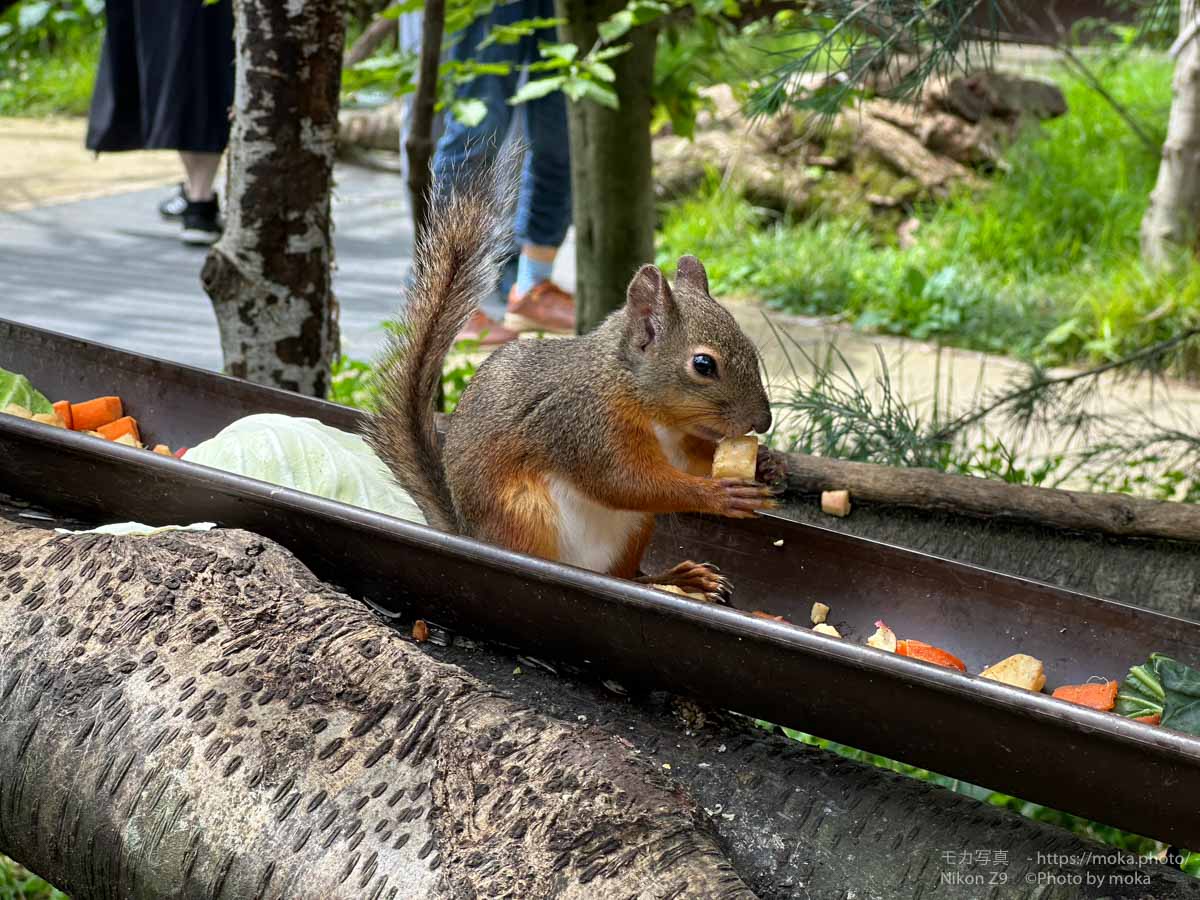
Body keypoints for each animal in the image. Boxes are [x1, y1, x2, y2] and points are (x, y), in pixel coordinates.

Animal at [364, 150, 777, 607]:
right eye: (703, 365)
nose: (763, 422)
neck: (634, 394)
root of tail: (469, 534)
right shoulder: (582, 427)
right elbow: (625, 483)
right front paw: (719, 495)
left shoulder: (677, 443)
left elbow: (687, 463)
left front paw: (768, 466)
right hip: (527, 514)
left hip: (635, 529)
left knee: (626, 576)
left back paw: (678, 579)